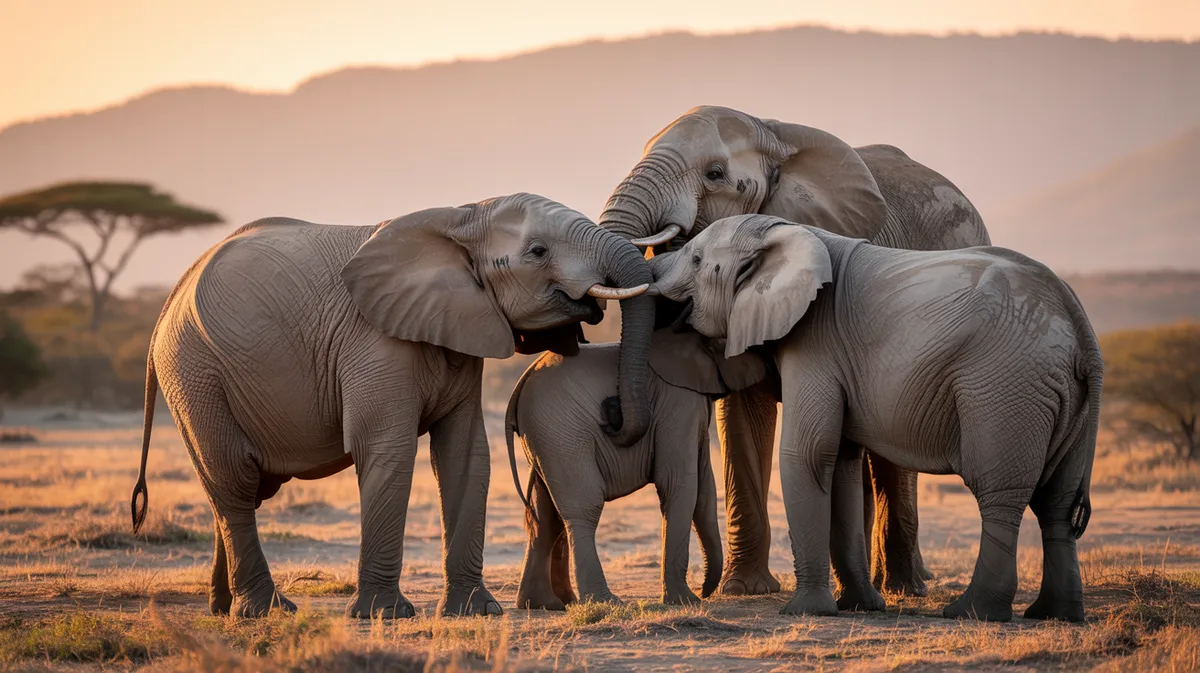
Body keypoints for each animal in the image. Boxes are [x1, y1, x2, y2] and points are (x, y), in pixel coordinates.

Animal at [127, 193, 654, 619]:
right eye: (538, 251)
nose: (611, 416)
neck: (463, 214)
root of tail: (166, 307)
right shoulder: (374, 340)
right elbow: (388, 448)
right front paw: (384, 614)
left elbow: (465, 454)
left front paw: (477, 611)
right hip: (196, 375)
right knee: (234, 480)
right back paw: (265, 611)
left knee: (238, 489)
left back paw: (222, 608)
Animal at [505, 329, 767, 607]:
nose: (705, 591)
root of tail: (520, 385)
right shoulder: (679, 404)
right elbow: (678, 484)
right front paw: (685, 601)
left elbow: (704, 488)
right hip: (560, 433)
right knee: (584, 507)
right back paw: (606, 602)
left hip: (545, 439)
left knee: (545, 516)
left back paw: (543, 604)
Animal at [599, 105, 992, 597]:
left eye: (715, 174)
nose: (611, 419)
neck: (773, 135)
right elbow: (744, 417)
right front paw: (744, 589)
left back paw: (902, 587)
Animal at [649, 214, 1103, 622]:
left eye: (696, 260)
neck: (782, 229)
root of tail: (1081, 328)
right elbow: (842, 464)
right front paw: (860, 606)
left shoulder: (814, 341)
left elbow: (807, 454)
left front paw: (804, 611)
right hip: (1063, 395)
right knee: (1057, 504)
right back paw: (1055, 615)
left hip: (1005, 387)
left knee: (998, 493)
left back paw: (973, 613)